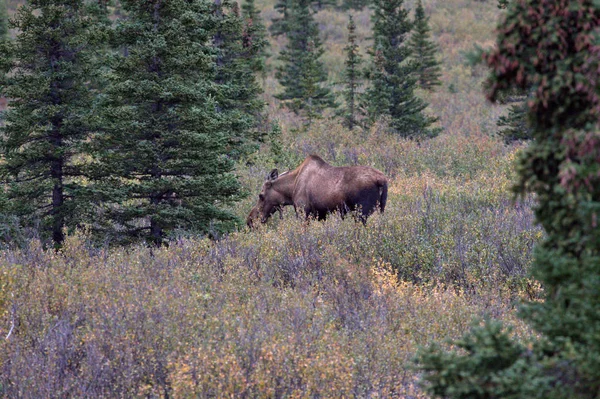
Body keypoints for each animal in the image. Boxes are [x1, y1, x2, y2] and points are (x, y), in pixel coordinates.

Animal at [246, 155, 386, 227]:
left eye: (261, 195)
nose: (250, 220)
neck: (290, 192)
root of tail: (382, 180)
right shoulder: (321, 214)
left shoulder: (303, 211)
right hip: (379, 210)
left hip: (361, 212)